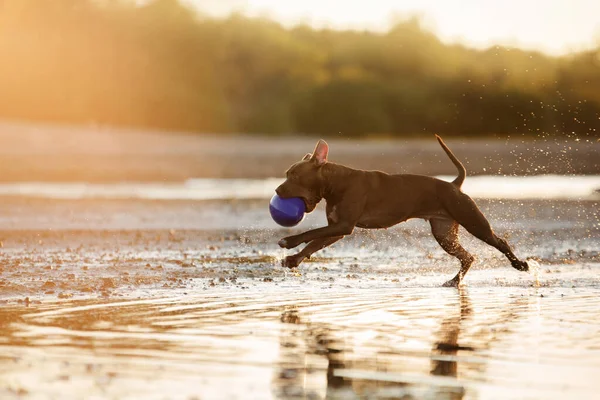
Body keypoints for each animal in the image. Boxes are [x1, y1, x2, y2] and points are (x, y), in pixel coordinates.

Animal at [274, 136, 528, 286]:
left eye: (293, 175)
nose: (277, 189)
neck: (336, 183)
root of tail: (454, 184)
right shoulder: (337, 229)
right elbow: (314, 243)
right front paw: (294, 259)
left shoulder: (343, 226)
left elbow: (310, 234)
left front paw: (289, 241)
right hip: (444, 233)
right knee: (468, 257)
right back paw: (455, 281)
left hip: (473, 222)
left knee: (500, 242)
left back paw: (520, 265)